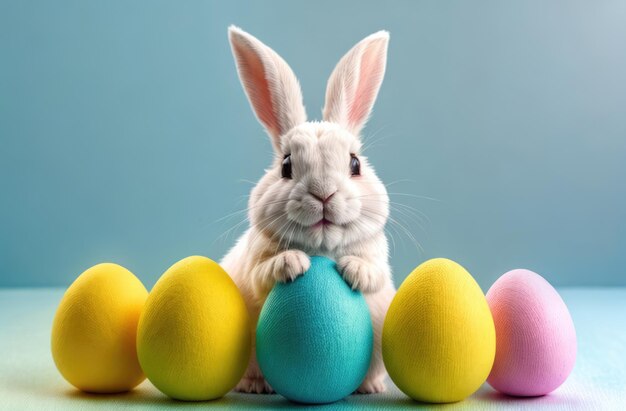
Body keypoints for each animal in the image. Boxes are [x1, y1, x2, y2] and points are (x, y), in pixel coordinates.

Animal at [222, 25, 392, 396]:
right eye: (286, 166)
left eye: (355, 164)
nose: (323, 193)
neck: (322, 249)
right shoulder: (255, 263)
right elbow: (263, 273)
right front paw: (292, 263)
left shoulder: (379, 260)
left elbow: (373, 273)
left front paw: (353, 270)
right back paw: (256, 386)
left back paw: (370, 387)